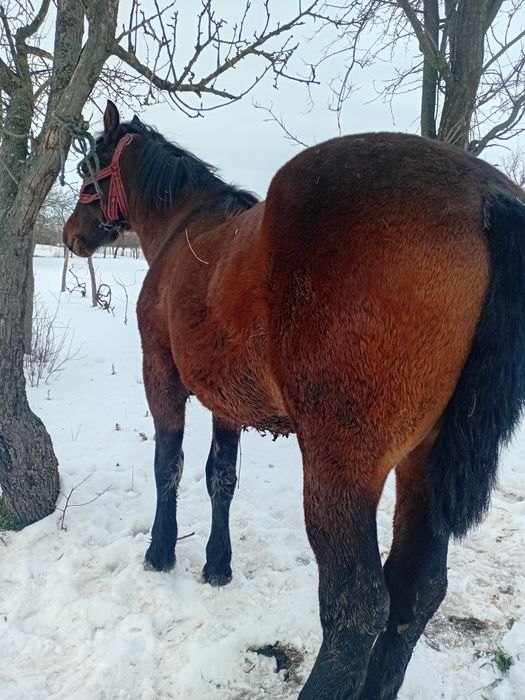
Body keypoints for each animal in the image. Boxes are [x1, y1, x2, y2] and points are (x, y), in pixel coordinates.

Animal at [63, 100, 525, 700]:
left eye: (86, 168)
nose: (71, 233)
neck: (184, 228)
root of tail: (487, 195)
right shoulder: (226, 403)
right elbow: (221, 478)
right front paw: (217, 565)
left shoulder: (161, 376)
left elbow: (169, 463)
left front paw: (160, 553)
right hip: (423, 463)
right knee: (416, 589)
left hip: (340, 468)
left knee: (357, 606)